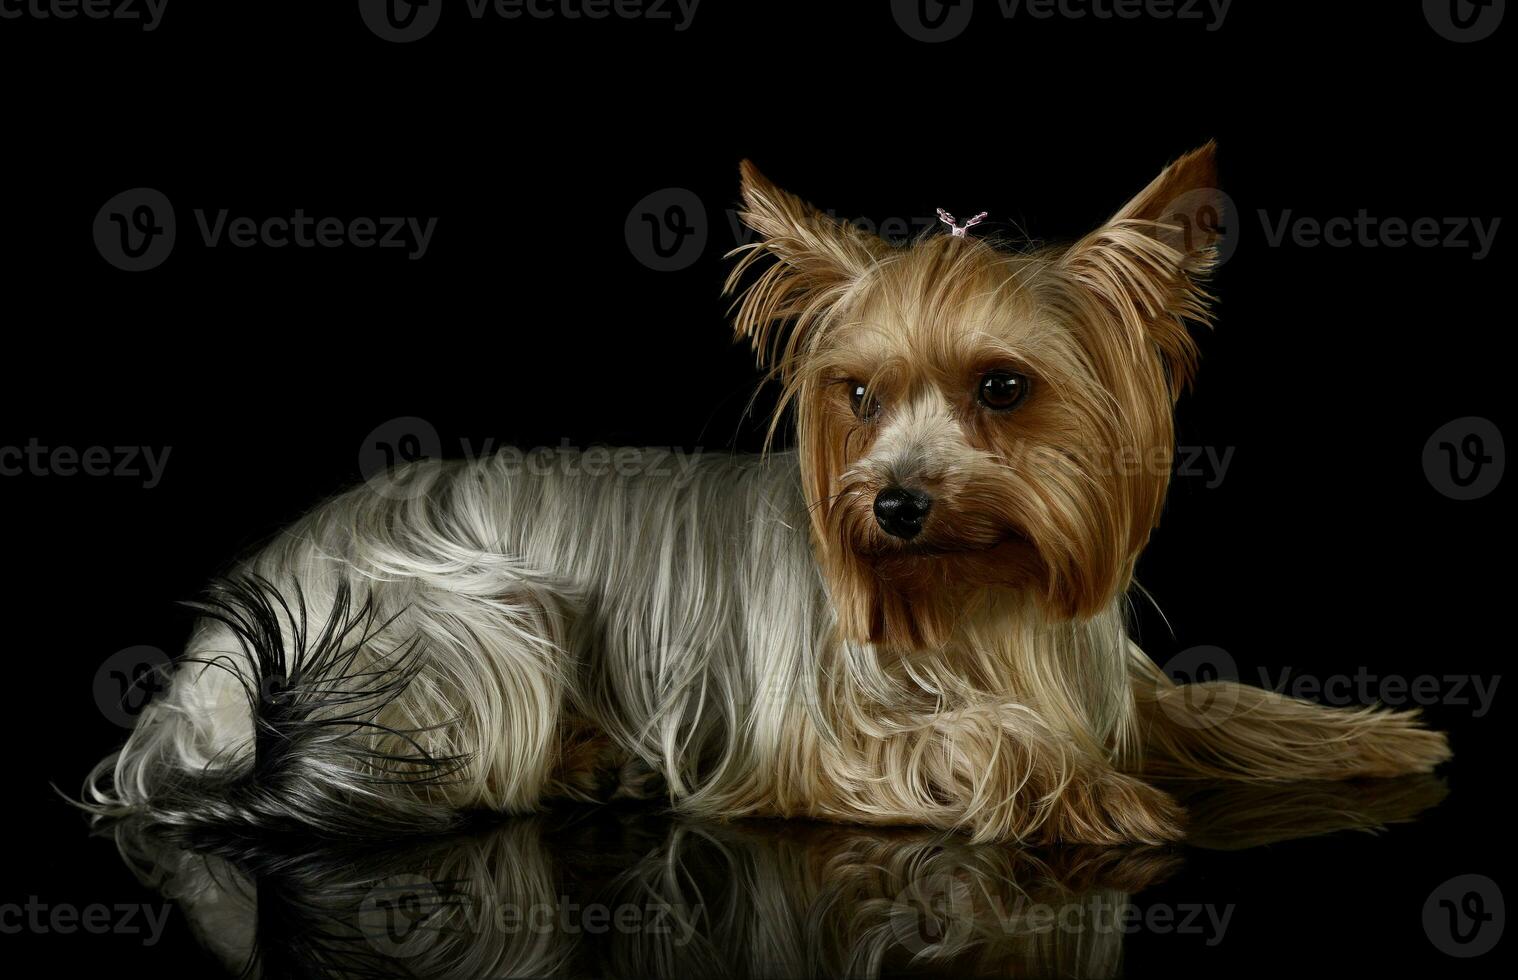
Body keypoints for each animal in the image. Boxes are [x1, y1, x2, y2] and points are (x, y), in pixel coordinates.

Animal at [88, 145, 1451, 843]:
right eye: (857, 393)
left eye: (1004, 386)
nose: (893, 504)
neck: (976, 596)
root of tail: (201, 675)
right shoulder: (828, 741)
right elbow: (988, 738)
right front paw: (1094, 791)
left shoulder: (1111, 680)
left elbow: (1221, 705)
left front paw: (1374, 735)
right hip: (478, 617)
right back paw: (583, 763)